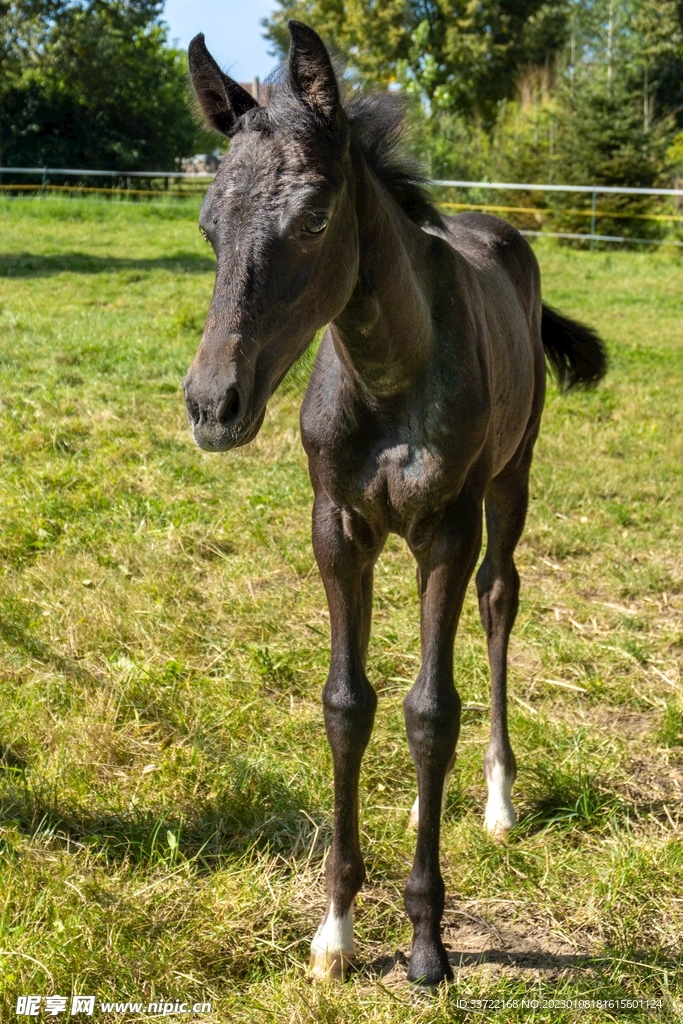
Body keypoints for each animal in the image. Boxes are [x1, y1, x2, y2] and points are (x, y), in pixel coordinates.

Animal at [182, 21, 607, 988]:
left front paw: (424, 942)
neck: (387, 373)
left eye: (314, 218)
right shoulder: (337, 528)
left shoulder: (443, 531)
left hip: (509, 480)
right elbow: (348, 704)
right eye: (209, 223)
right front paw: (335, 928)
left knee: (497, 601)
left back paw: (495, 798)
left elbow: (429, 711)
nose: (213, 406)